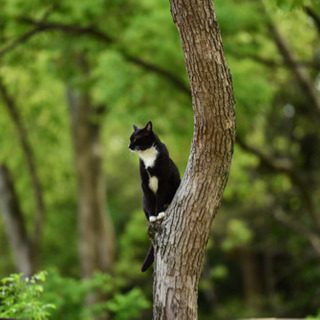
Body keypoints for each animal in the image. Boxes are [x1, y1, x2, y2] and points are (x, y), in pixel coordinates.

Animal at [129, 121, 181, 272]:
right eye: (130, 139)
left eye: (135, 139)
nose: (129, 146)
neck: (147, 155)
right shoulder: (144, 184)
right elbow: (151, 201)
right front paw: (153, 216)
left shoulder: (163, 180)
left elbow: (159, 198)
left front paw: (160, 214)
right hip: (143, 200)